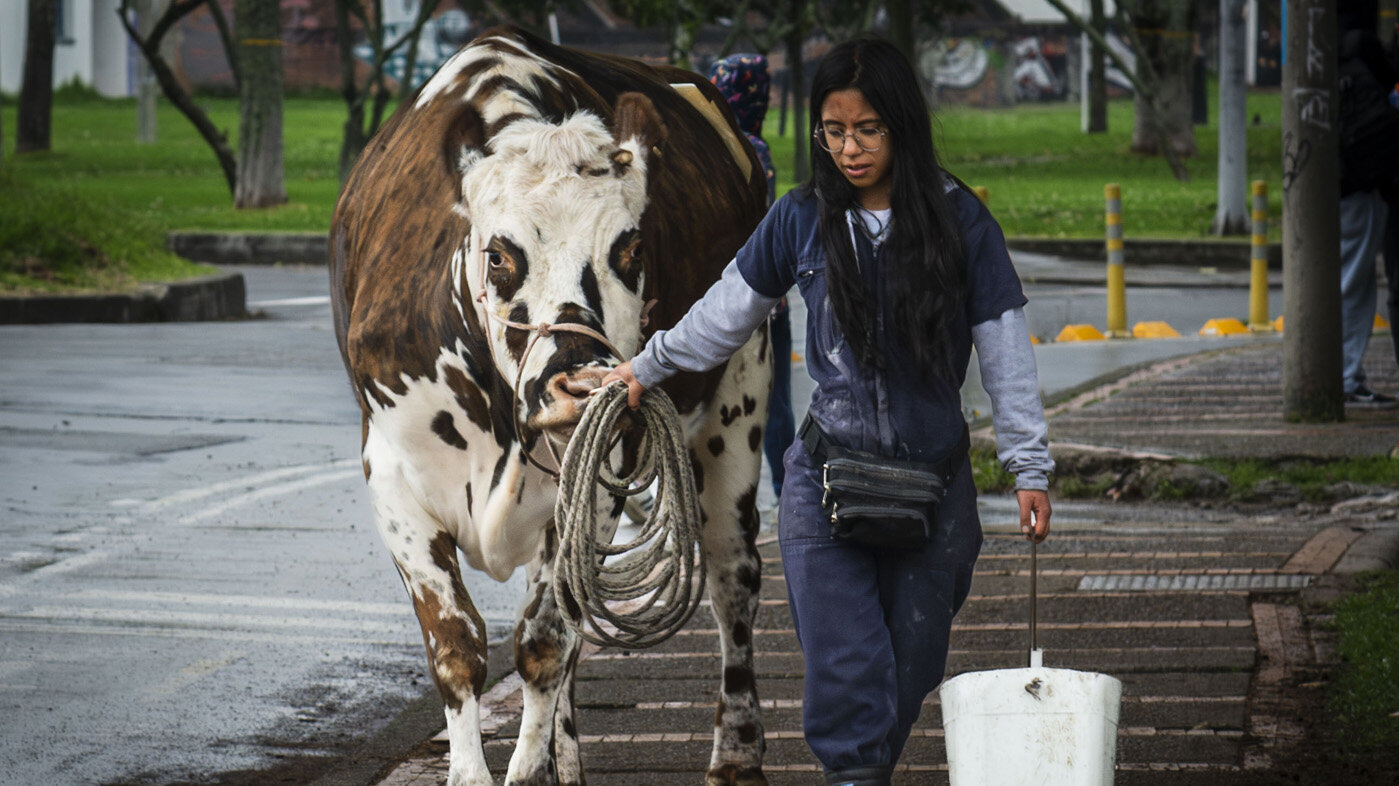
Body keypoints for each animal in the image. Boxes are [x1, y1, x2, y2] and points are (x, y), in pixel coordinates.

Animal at [331, 24, 777, 783]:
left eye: (631, 247)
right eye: (499, 254)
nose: (581, 384)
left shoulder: (597, 472)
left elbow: (543, 643)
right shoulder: (392, 473)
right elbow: (457, 647)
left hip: (740, 398)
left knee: (730, 574)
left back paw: (735, 755)